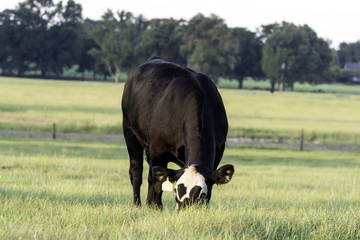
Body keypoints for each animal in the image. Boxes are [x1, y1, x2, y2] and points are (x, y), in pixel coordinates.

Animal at [121, 57, 233, 209]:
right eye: (176, 192)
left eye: (202, 195)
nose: (185, 211)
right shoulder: (158, 150)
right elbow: (158, 183)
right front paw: (156, 207)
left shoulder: (218, 153)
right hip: (130, 134)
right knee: (136, 172)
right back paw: (137, 204)